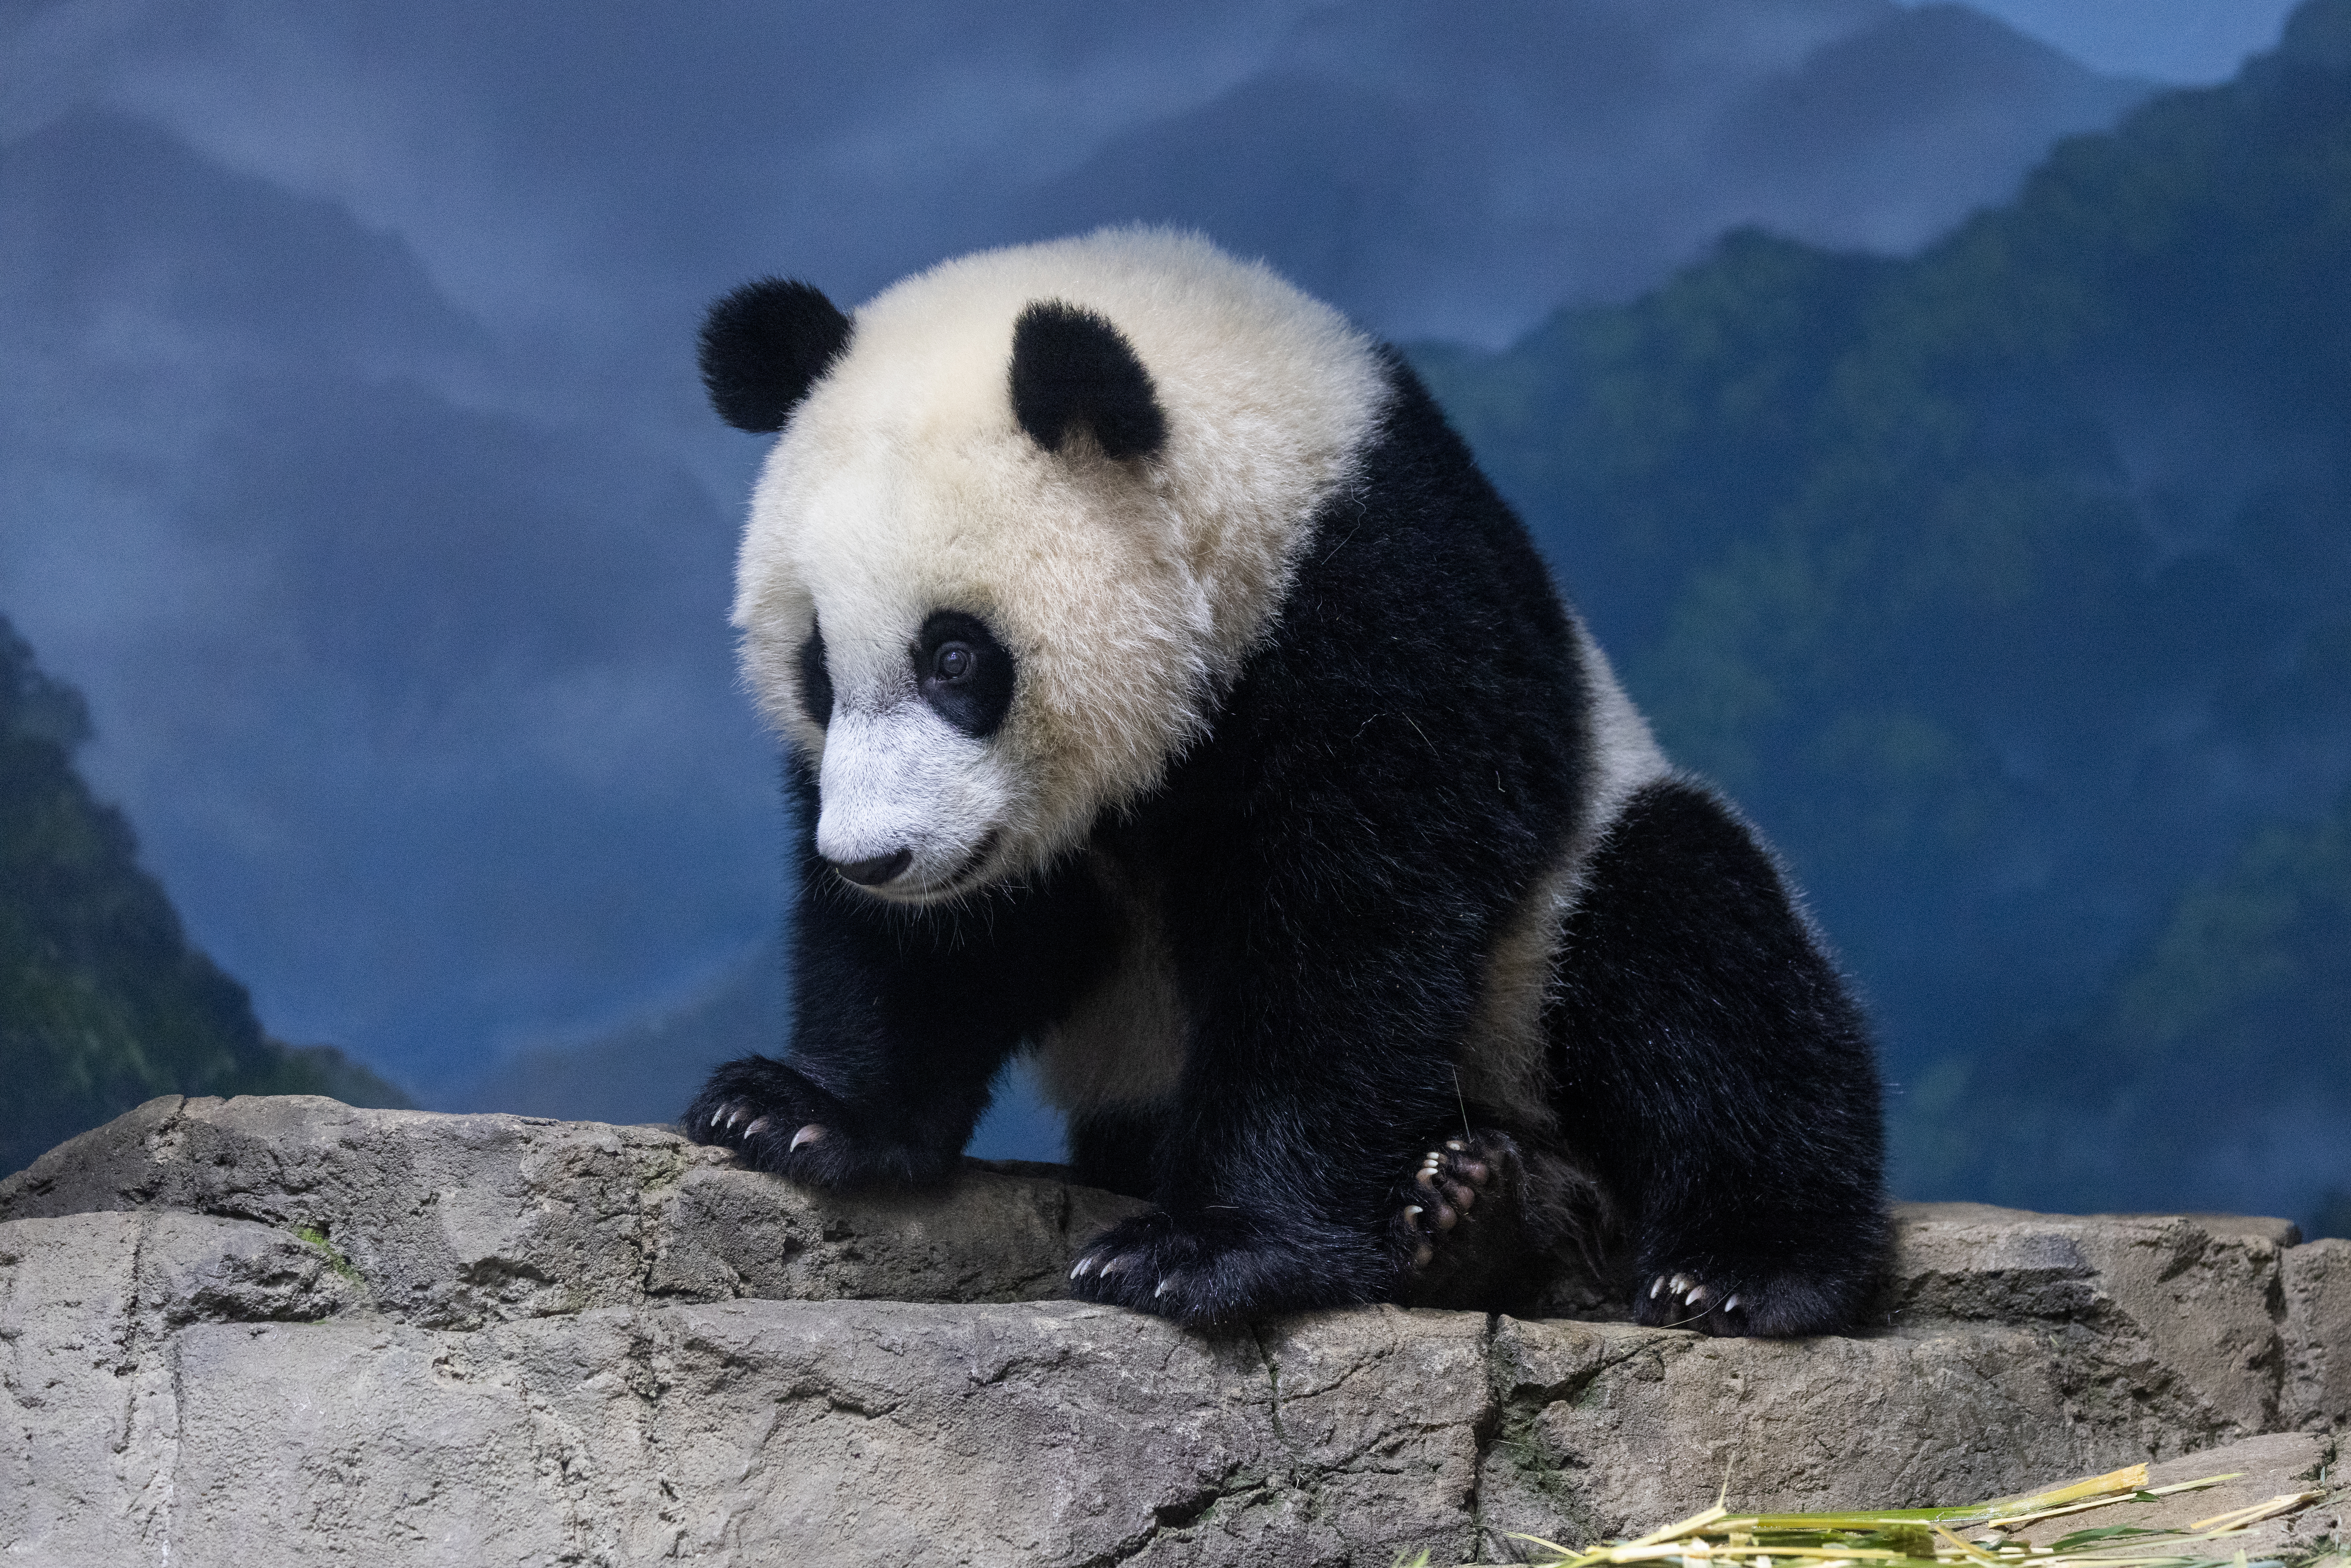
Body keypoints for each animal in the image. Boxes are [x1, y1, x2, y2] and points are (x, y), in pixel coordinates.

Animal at [684, 228, 1887, 1337]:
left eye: (954, 658)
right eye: (817, 666)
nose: (874, 856)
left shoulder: (1384, 611)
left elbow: (1346, 934)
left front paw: (1199, 1251)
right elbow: (942, 948)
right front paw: (795, 1111)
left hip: (1555, 933)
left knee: (1694, 945)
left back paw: (1723, 1265)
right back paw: (1469, 1217)